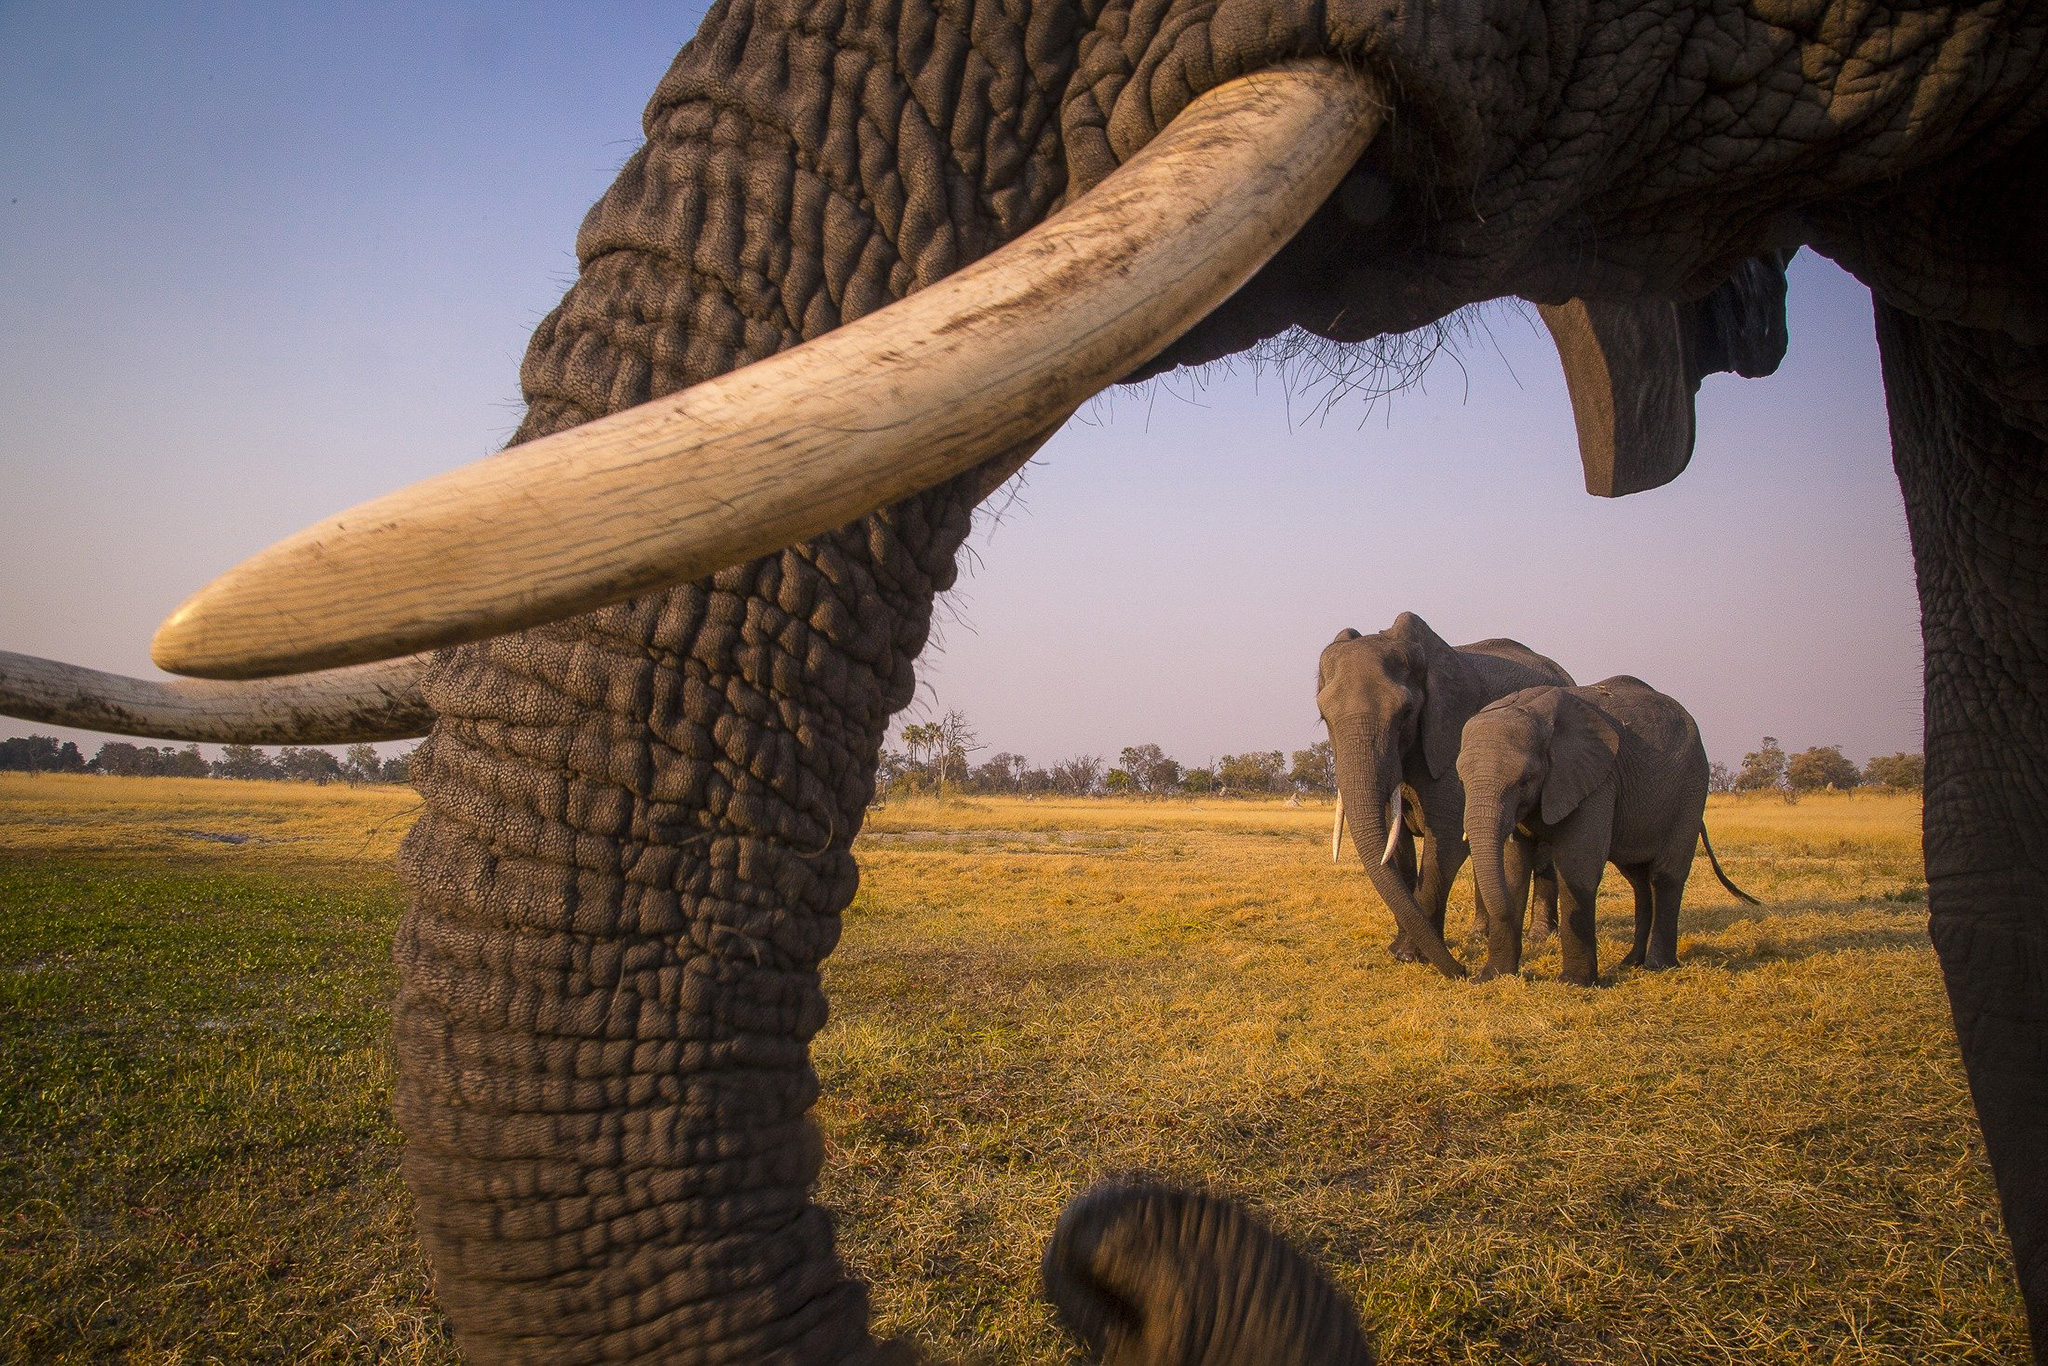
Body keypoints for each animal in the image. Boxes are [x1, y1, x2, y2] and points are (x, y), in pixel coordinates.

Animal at [1318, 614, 1572, 978]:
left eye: (1405, 714)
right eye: (1324, 717)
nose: (1464, 971)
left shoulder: (1452, 738)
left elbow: (1448, 839)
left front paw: (1410, 954)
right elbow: (1394, 845)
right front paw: (1401, 948)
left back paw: (1539, 936)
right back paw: (1479, 935)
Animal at [1458, 679, 1761, 983]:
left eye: (1526, 780)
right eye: (1461, 779)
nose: (1465, 970)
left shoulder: (1597, 780)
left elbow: (1578, 866)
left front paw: (1574, 983)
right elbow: (1513, 870)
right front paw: (1492, 977)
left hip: (1691, 791)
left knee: (1666, 876)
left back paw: (1657, 965)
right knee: (1639, 881)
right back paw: (1630, 963)